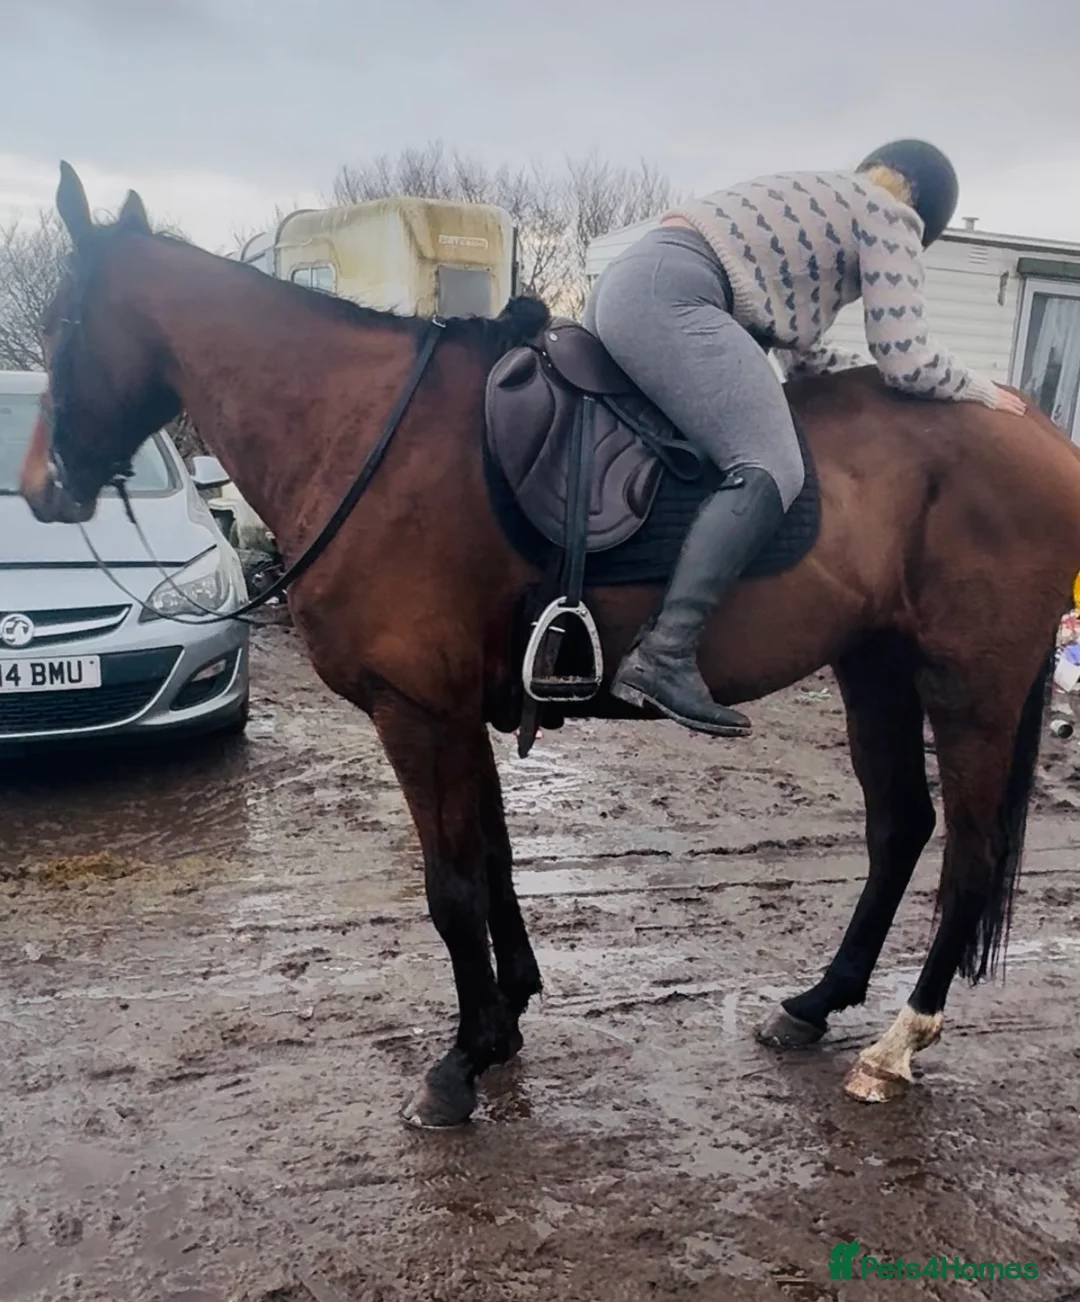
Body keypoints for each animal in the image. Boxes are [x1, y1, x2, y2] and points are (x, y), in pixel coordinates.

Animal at [20, 161, 1080, 1128]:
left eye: (65, 324)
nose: (41, 490)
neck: (365, 435)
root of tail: (1039, 430)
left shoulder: (418, 713)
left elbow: (451, 887)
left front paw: (462, 1062)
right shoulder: (455, 712)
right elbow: (492, 862)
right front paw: (509, 1016)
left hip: (972, 686)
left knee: (971, 853)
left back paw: (898, 1041)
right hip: (876, 668)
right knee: (899, 826)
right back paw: (817, 1005)